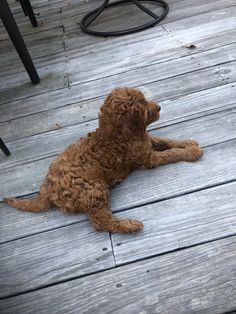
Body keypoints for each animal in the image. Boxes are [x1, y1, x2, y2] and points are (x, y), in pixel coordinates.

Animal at [3, 87, 203, 232]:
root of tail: (46, 188)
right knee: (100, 221)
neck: (116, 133)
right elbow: (171, 153)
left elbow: (165, 140)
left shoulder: (146, 142)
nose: (159, 107)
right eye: (142, 105)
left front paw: (188, 142)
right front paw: (192, 152)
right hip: (94, 188)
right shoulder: (147, 158)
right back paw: (130, 225)